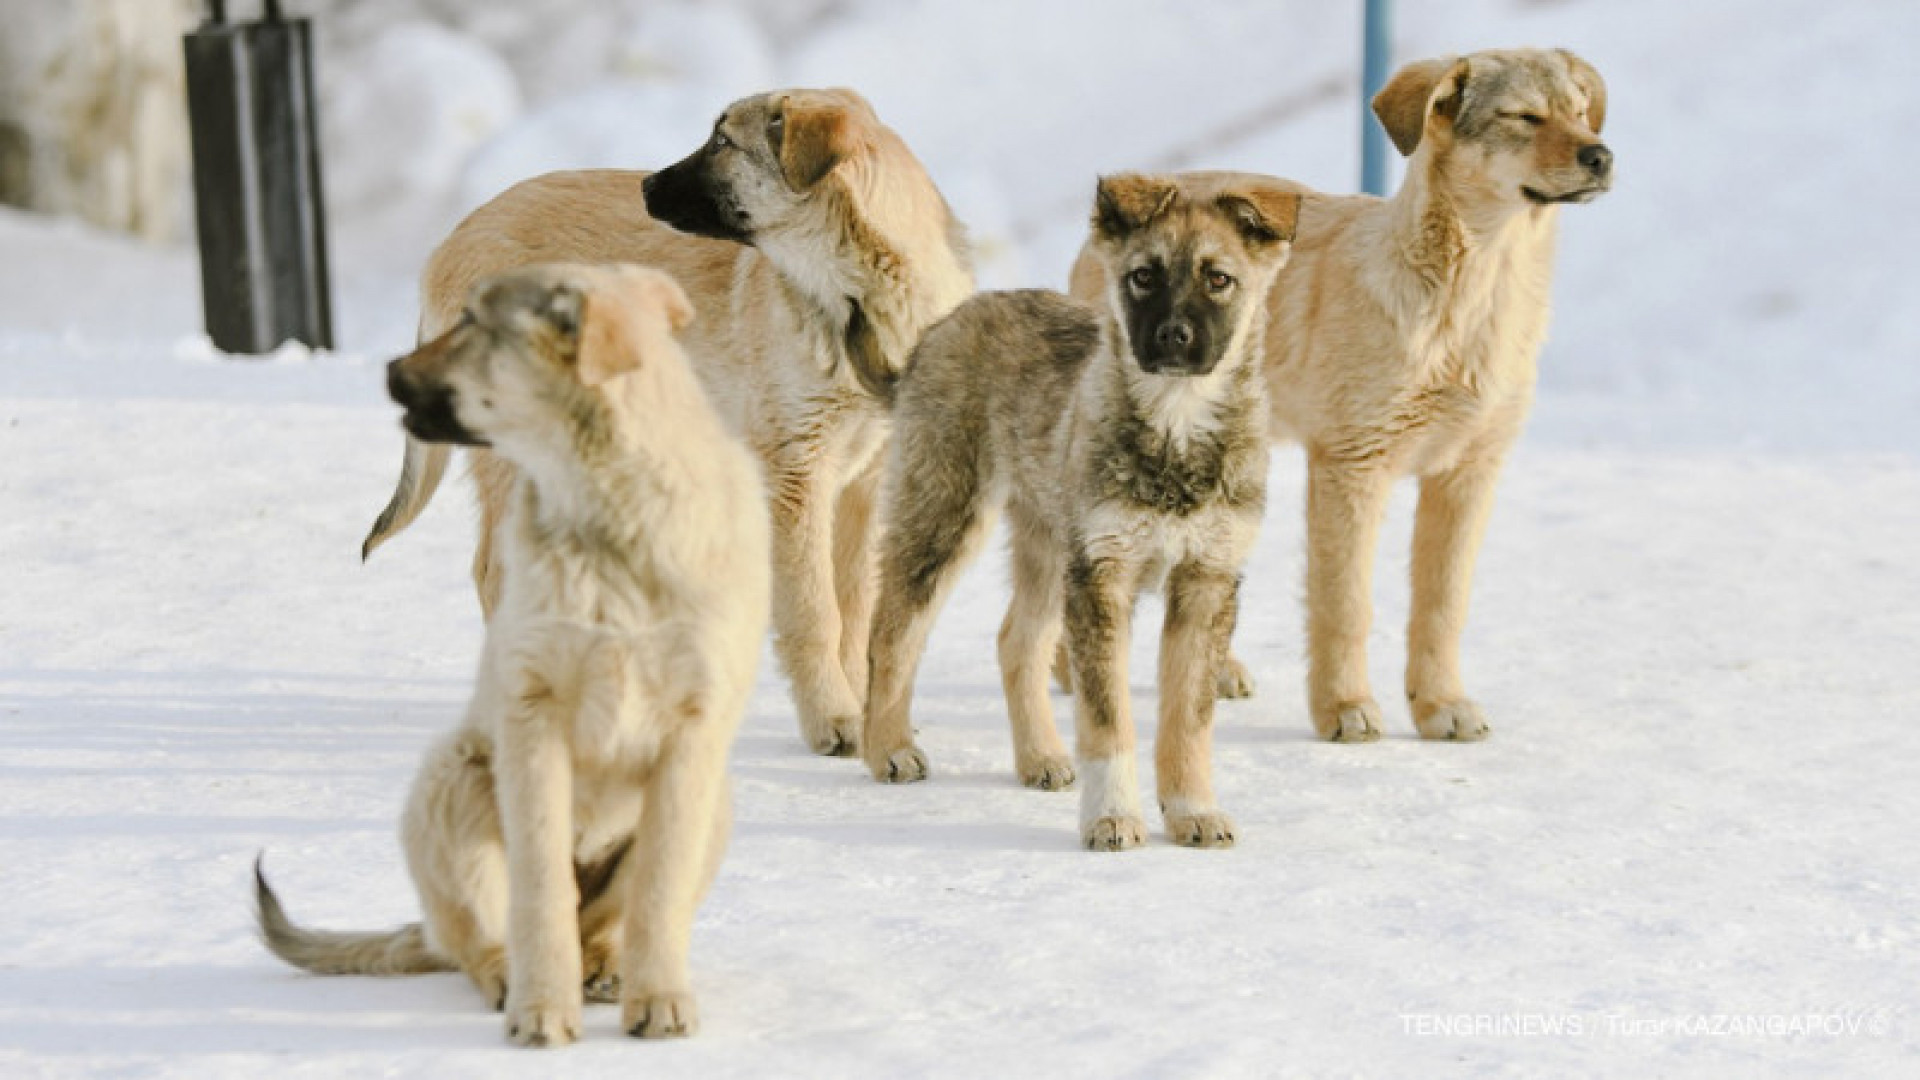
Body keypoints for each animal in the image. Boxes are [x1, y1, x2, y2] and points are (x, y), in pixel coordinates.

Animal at [251, 261, 768, 1045]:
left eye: (473, 322)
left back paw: (607, 968)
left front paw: (660, 1000)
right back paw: (510, 978)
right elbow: (538, 890)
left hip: (718, 801)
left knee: (604, 921)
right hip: (455, 779)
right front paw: (543, 1011)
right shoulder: (533, 718)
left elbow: (658, 890)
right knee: (479, 936)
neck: (611, 514)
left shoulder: (693, 734)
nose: (388, 368)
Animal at [357, 84, 975, 753]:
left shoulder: (866, 481)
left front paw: (868, 715)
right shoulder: (798, 478)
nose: (646, 186)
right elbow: (816, 614)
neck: (859, 297)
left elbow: (855, 610)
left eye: (722, 143)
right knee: (493, 575)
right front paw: (834, 720)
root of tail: (454, 236)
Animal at [860, 174, 1297, 849]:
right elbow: (1108, 717)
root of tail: (935, 333)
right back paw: (888, 749)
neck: (1176, 423)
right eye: (1143, 276)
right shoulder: (1102, 576)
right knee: (892, 632)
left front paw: (1192, 810)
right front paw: (1113, 817)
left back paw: (1038, 756)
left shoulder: (1206, 580)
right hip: (946, 515)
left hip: (1047, 541)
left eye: (1219, 279)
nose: (1173, 337)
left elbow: (1187, 718)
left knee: (1016, 641)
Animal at [1075, 48, 1612, 737]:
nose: (1601, 156)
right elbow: (1346, 604)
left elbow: (1443, 605)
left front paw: (1440, 705)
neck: (1473, 304)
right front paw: (1346, 708)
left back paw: (1217, 670)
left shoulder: (1468, 473)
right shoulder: (1352, 466)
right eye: (1524, 117)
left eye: (1581, 112)